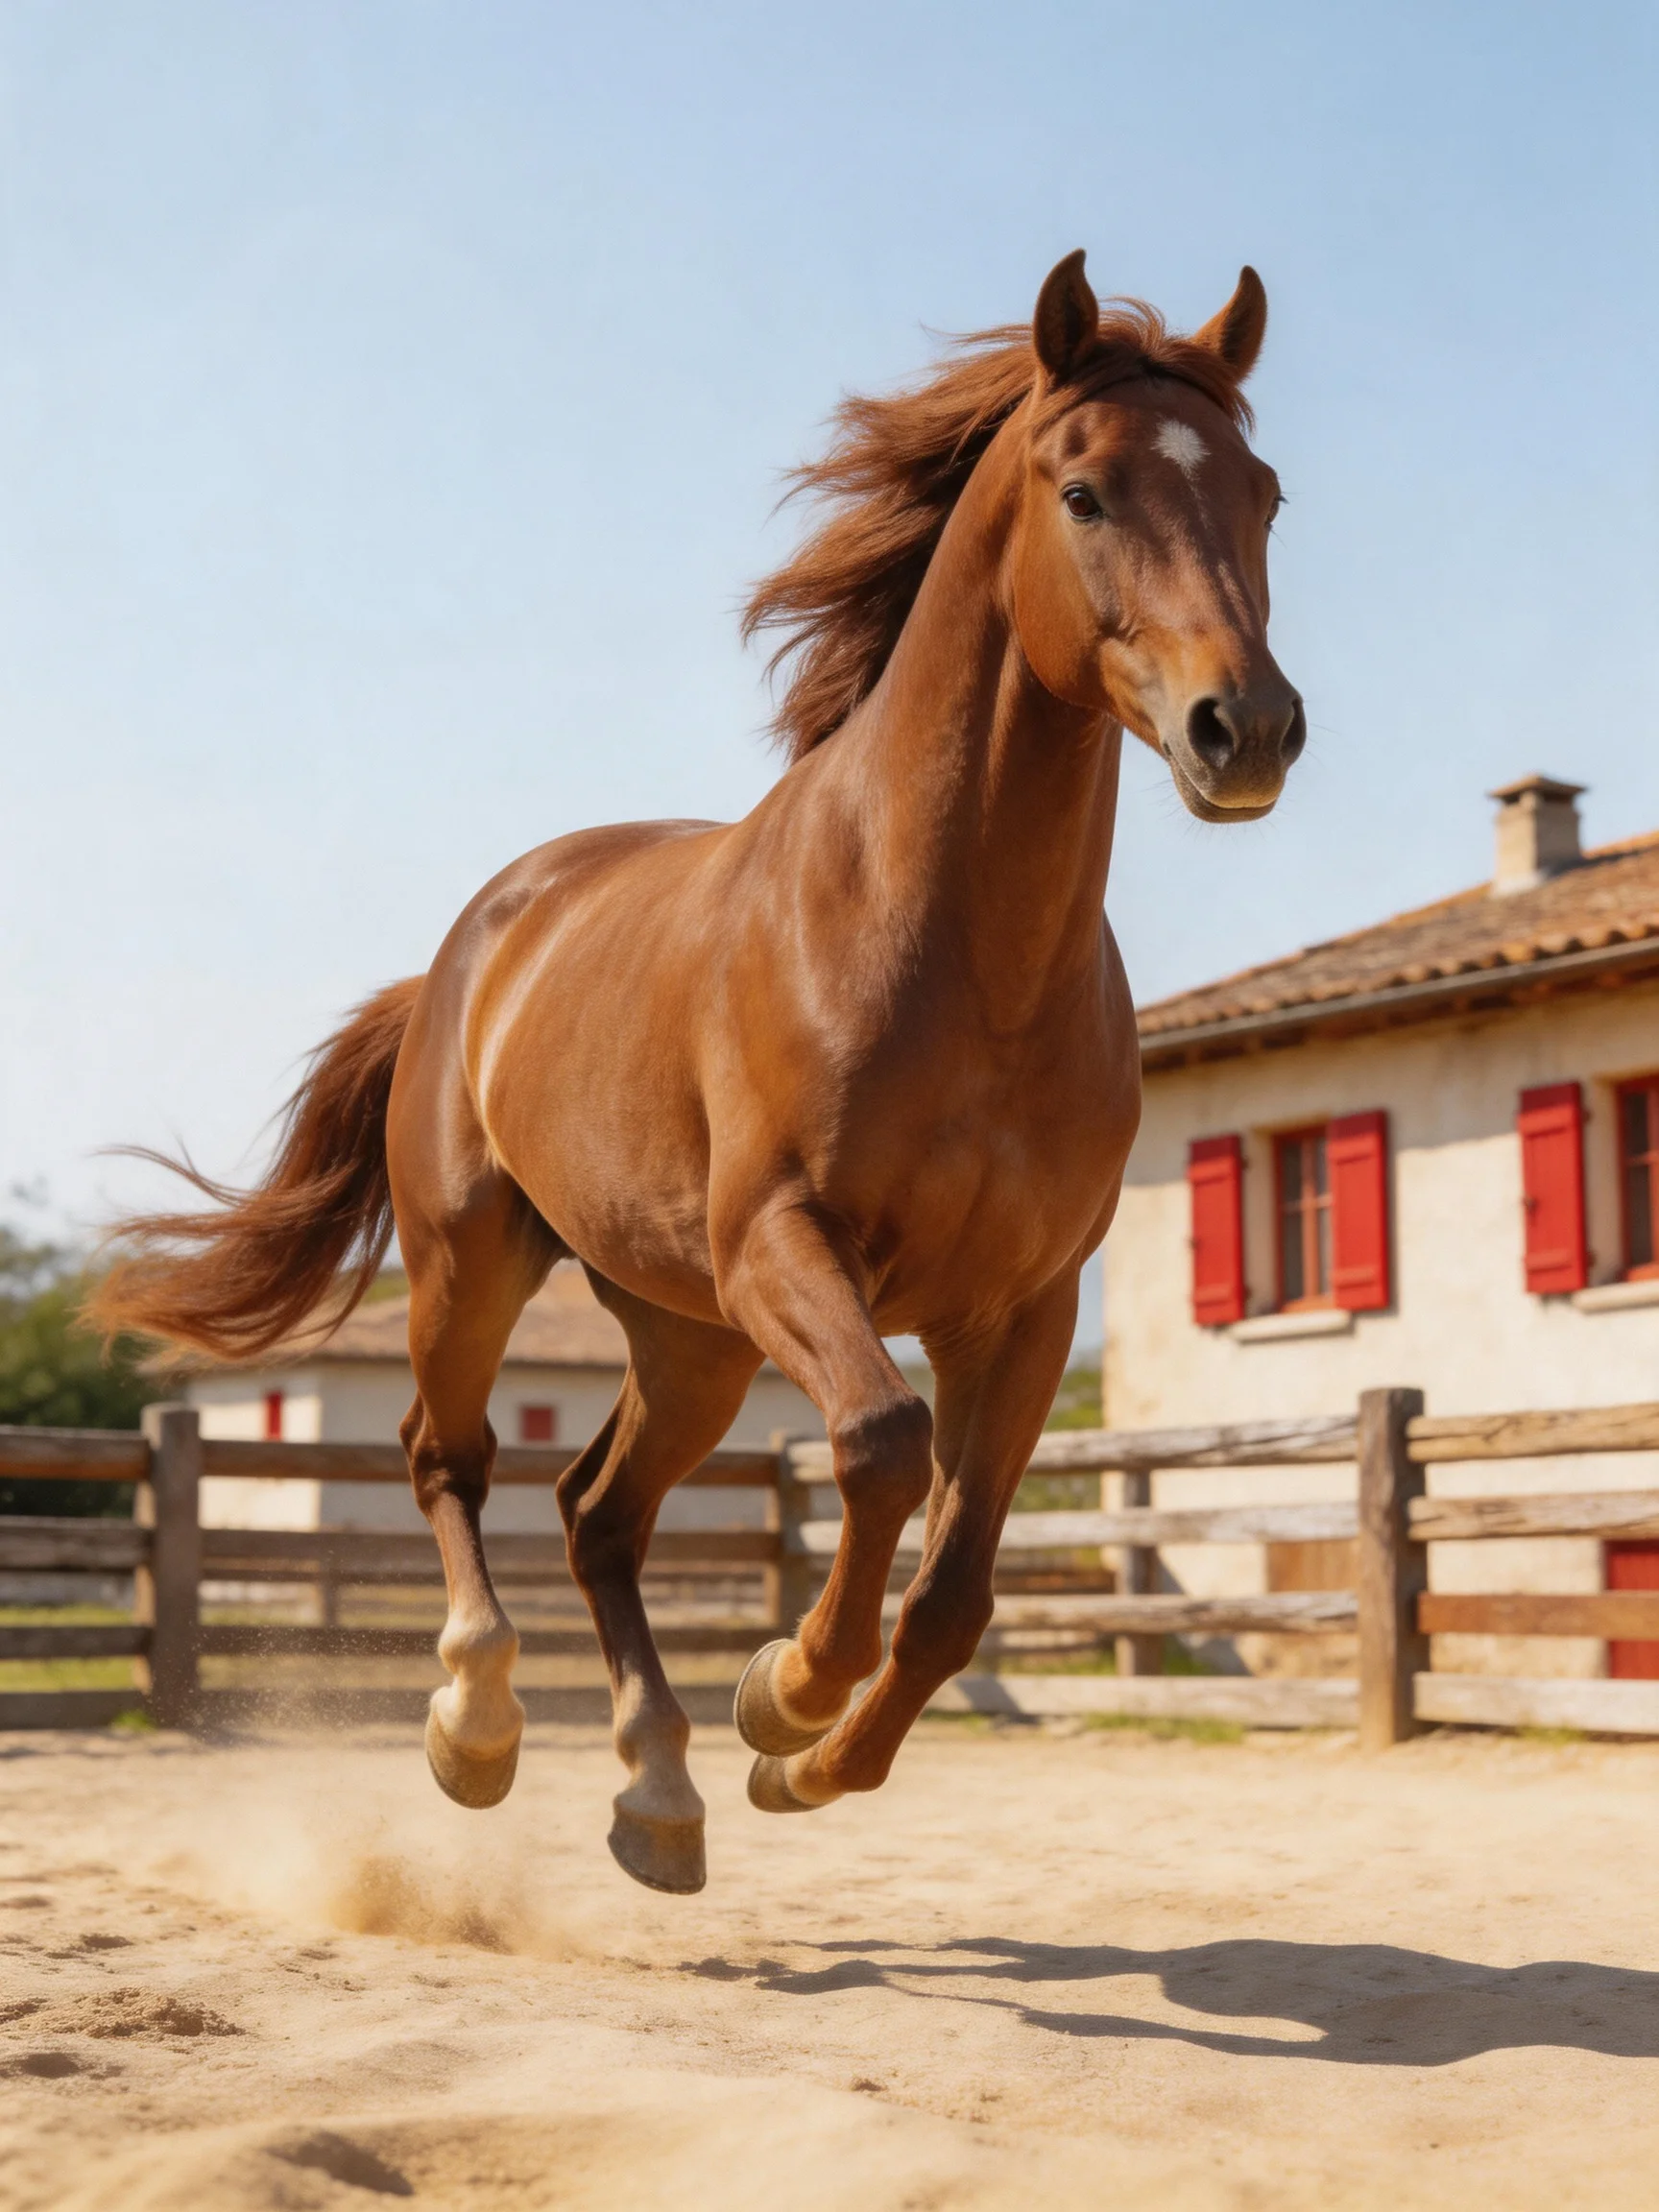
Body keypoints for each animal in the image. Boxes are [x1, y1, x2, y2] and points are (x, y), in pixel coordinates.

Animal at [94, 250, 1303, 1895]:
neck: (955, 952)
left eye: (1265, 492)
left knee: (596, 1514)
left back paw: (660, 1798)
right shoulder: (783, 1244)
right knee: (448, 1458)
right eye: (1086, 491)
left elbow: (956, 1589)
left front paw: (804, 1763)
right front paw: (787, 1687)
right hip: (486, 1266)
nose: (1246, 729)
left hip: (689, 1338)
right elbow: (876, 1447)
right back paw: (479, 1726)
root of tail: (471, 950)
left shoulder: (1025, 1308)